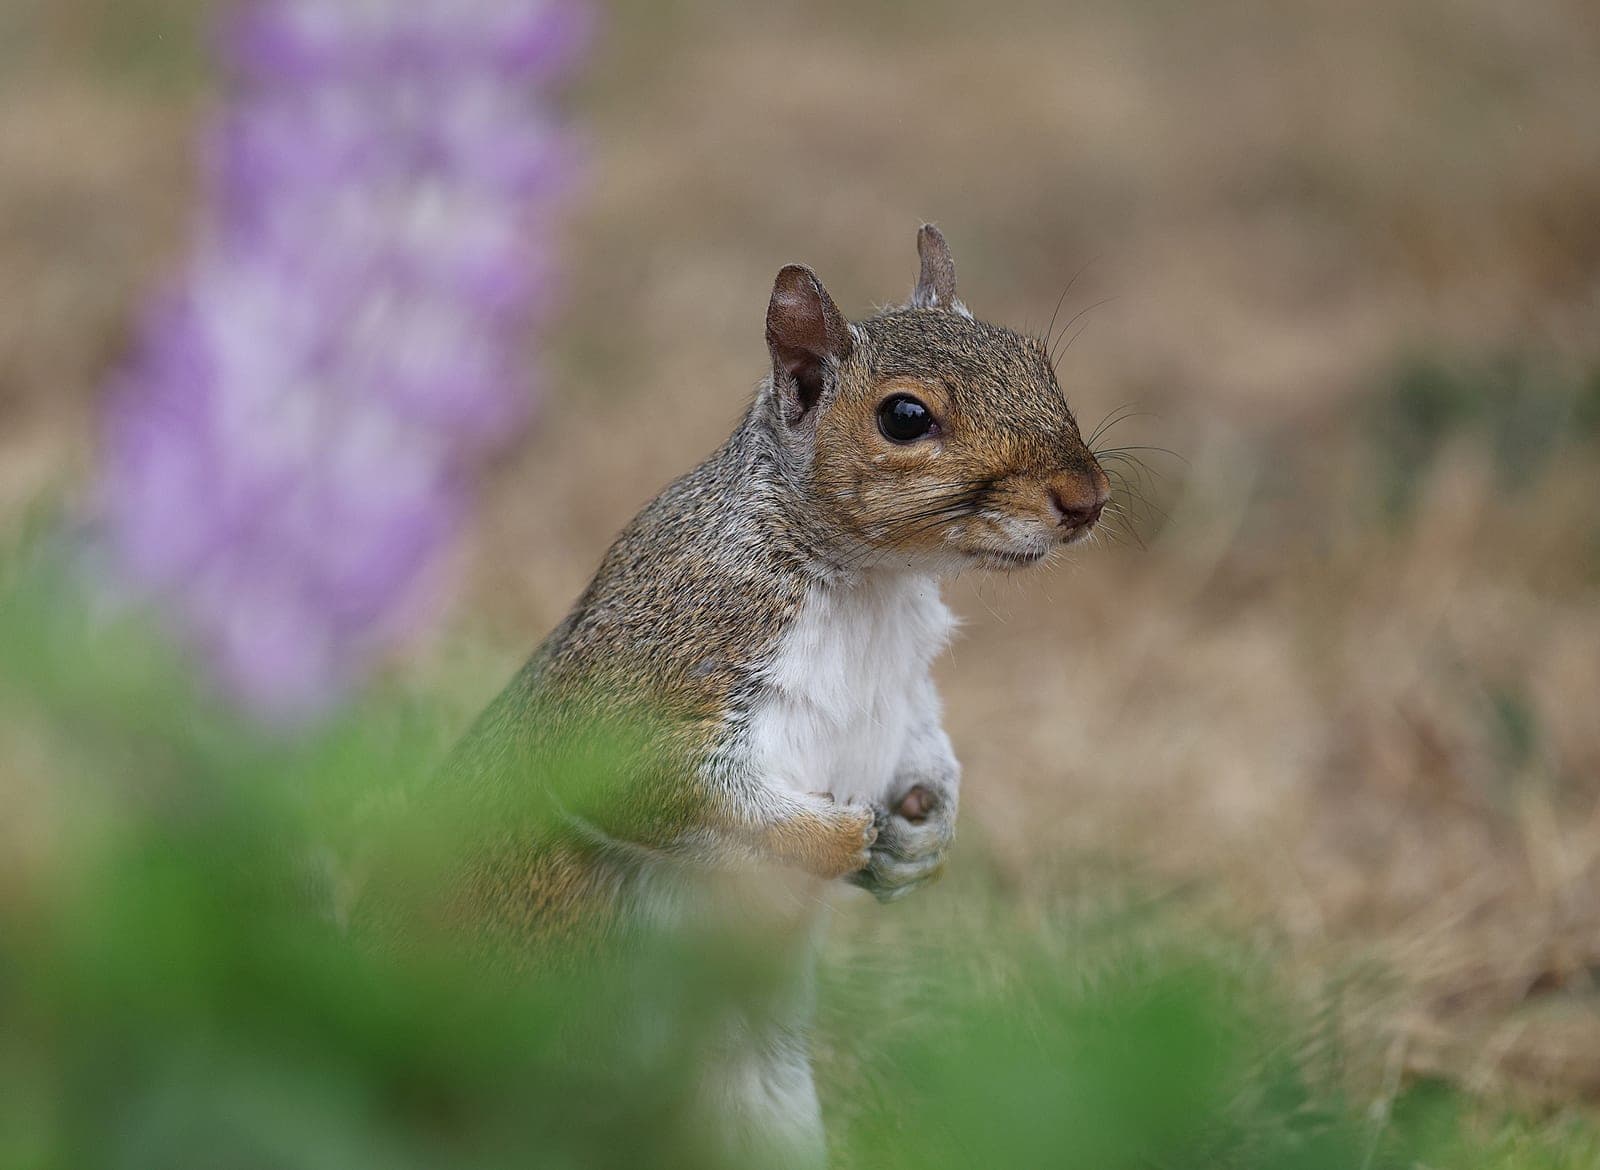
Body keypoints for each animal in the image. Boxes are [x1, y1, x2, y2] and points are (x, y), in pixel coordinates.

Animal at [439, 225, 1111, 1164]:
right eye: (905, 417)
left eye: (1035, 358)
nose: (1088, 498)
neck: (868, 588)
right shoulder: (654, 659)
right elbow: (654, 788)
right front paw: (833, 839)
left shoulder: (905, 687)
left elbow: (926, 741)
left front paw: (927, 836)